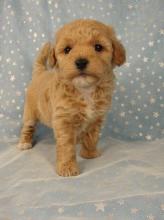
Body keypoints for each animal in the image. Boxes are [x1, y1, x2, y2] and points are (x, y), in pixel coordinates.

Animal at [18, 19, 125, 177]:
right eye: (67, 49)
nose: (81, 62)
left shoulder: (96, 118)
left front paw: (89, 153)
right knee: (27, 127)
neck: (85, 89)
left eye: (98, 47)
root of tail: (40, 73)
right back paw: (24, 142)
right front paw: (67, 167)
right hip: (30, 113)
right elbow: (66, 146)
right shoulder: (64, 120)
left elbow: (92, 137)